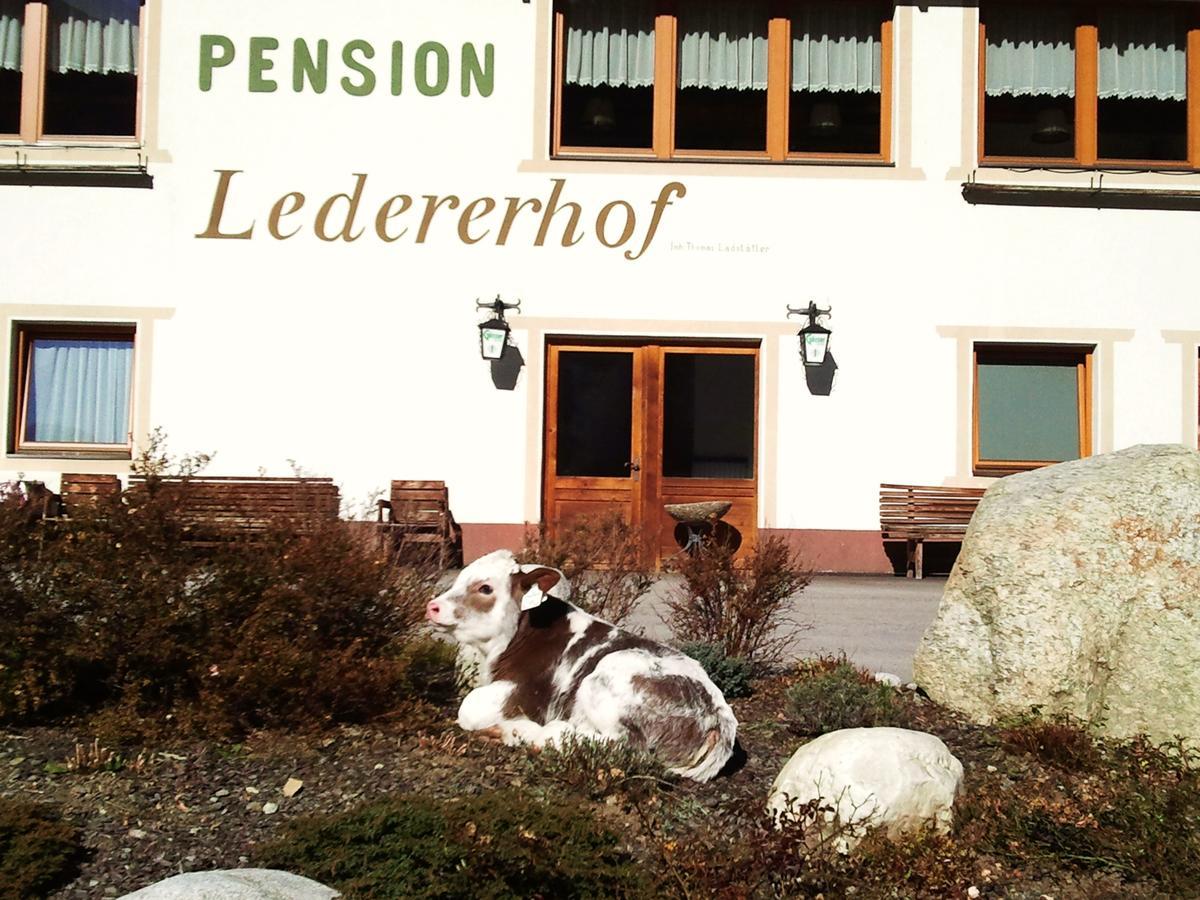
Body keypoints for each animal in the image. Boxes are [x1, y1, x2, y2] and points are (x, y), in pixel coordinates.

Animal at [427, 549, 734, 782]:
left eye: (485, 588)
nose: (433, 606)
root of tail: (720, 719)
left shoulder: (527, 693)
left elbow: (469, 709)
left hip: (609, 673)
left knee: (624, 747)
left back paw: (526, 732)